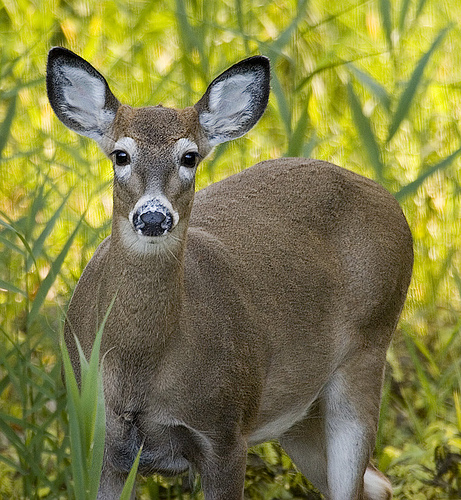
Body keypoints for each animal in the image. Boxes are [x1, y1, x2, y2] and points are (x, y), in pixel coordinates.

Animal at [47, 47, 414, 500]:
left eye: (189, 156)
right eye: (121, 155)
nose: (153, 217)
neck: (139, 371)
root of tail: (390, 200)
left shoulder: (225, 432)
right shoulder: (97, 438)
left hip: (368, 347)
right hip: (298, 407)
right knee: (376, 483)